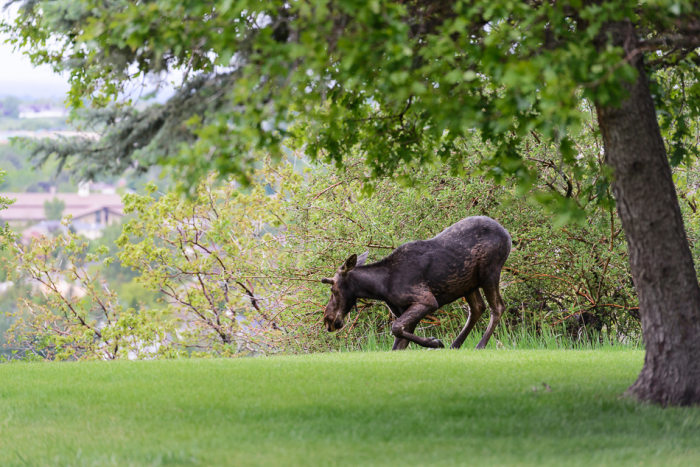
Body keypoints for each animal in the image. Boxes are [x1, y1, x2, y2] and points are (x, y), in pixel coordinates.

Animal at [321, 216, 511, 350]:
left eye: (333, 289)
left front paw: (435, 342)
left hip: (489, 273)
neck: (381, 287)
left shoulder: (426, 300)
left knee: (498, 307)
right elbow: (397, 346)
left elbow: (395, 328)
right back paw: (455, 345)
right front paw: (434, 343)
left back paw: (479, 345)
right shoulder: (405, 311)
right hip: (468, 284)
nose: (328, 321)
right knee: (478, 308)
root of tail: (508, 234)